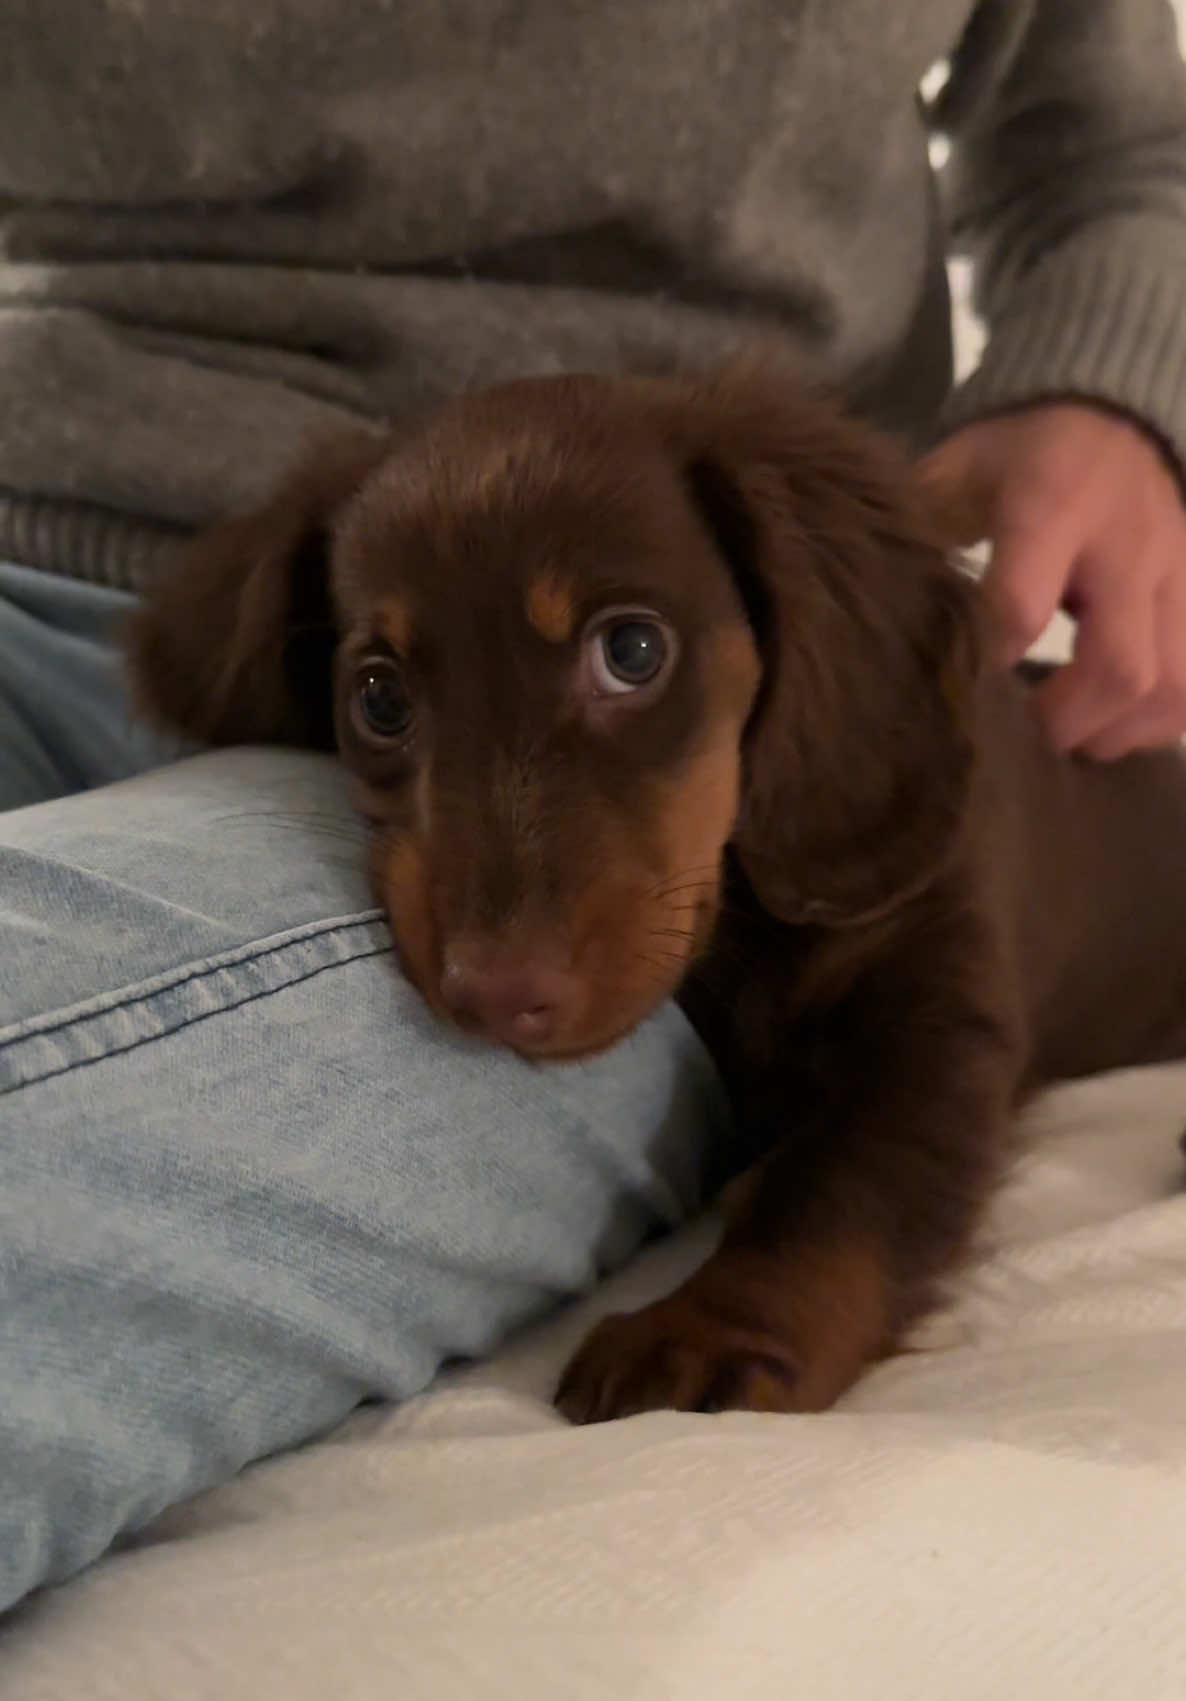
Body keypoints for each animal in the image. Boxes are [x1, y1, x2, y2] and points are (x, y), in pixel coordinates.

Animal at [122, 369, 1186, 1422]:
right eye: (380, 698)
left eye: (632, 649)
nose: (498, 997)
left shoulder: (939, 1021)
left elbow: (844, 1186)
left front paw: (711, 1329)